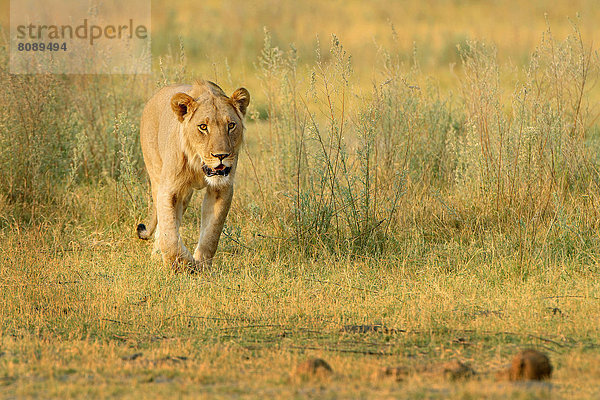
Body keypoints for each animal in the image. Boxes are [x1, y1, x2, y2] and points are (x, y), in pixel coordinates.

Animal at [135, 79, 248, 272]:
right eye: (203, 127)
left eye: (231, 125)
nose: (221, 155)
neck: (198, 165)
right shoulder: (169, 188)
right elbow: (169, 232)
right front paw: (181, 263)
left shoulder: (222, 188)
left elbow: (212, 232)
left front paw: (202, 265)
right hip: (156, 173)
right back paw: (157, 255)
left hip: (185, 194)